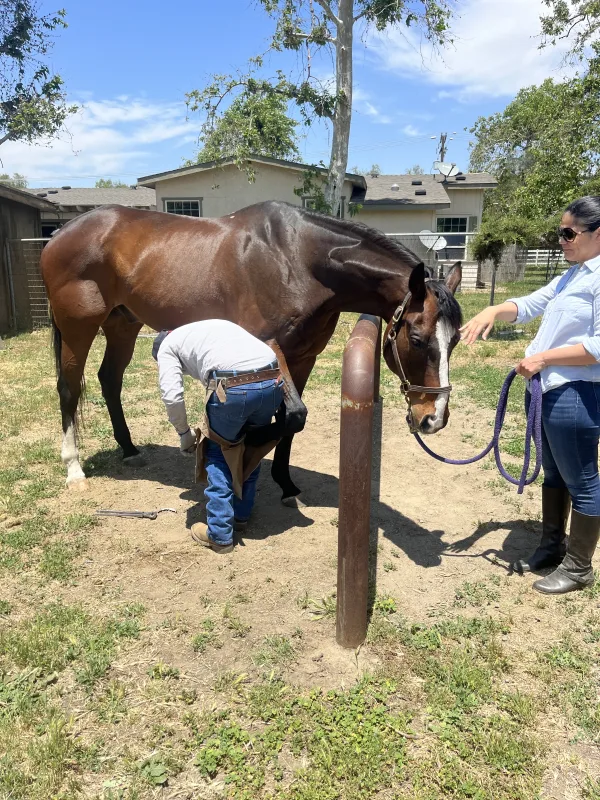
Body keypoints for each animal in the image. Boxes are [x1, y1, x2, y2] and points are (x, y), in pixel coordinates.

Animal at [41, 200, 464, 496]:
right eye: (417, 339)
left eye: (456, 339)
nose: (434, 418)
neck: (298, 259)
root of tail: (61, 232)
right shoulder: (269, 346)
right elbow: (292, 414)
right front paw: (243, 453)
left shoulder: (303, 357)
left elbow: (293, 419)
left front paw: (284, 482)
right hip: (78, 328)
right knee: (69, 388)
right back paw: (74, 469)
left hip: (123, 324)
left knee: (109, 379)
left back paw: (128, 449)